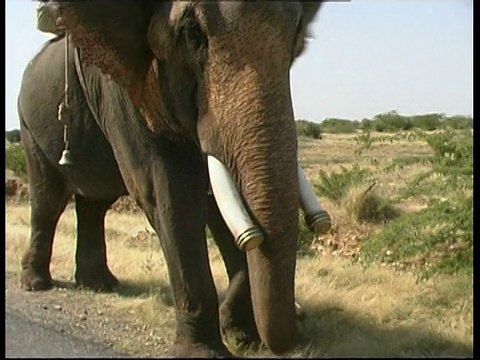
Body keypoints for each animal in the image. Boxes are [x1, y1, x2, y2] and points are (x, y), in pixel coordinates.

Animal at [18, 1, 326, 358]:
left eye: (296, 39)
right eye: (191, 34)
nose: (300, 321)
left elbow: (218, 201)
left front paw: (241, 334)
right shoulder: (124, 88)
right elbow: (171, 193)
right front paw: (205, 351)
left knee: (94, 204)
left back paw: (99, 284)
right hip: (29, 124)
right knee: (48, 201)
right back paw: (36, 284)